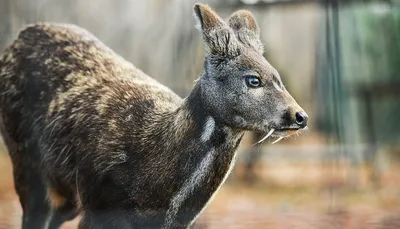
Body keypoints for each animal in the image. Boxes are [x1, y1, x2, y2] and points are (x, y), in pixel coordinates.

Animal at [0, 2, 310, 229]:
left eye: (278, 77)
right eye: (253, 79)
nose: (300, 116)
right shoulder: (98, 204)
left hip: (65, 192)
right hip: (25, 157)